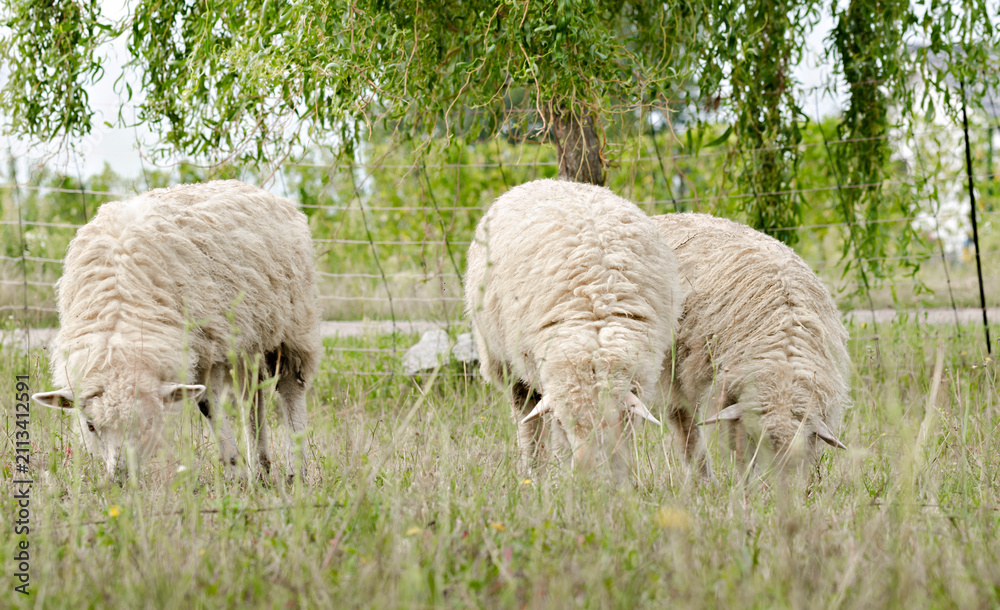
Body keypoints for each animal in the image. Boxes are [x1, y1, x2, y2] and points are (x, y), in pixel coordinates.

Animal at [31, 180, 320, 481]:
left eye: (148, 422)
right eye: (90, 426)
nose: (120, 479)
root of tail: (254, 188)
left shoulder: (208, 345)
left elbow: (206, 403)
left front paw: (234, 470)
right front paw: (240, 470)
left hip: (293, 322)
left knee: (290, 386)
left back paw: (295, 471)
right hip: (248, 335)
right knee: (253, 397)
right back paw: (261, 468)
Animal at [464, 179, 682, 478]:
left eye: (613, 421)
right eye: (562, 422)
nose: (585, 475)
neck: (597, 309)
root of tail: (552, 181)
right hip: (505, 362)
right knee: (526, 419)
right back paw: (532, 470)